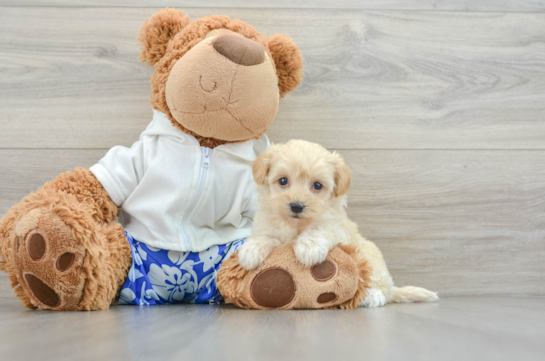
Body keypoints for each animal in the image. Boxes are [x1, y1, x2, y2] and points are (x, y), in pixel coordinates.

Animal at [238, 139, 438, 306]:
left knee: (378, 287)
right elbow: (265, 236)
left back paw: (371, 296)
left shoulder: (336, 227)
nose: (296, 206)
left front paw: (309, 247)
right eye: (283, 181)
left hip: (371, 259)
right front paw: (251, 251)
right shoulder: (268, 225)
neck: (296, 226)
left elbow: (320, 229)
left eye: (317, 185)